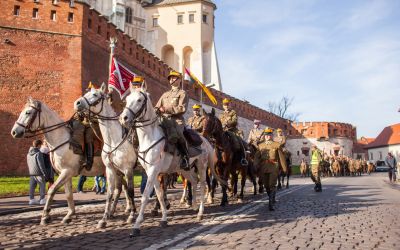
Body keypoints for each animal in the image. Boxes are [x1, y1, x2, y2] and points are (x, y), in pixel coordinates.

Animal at [73, 83, 138, 228]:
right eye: (86, 93)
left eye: (95, 94)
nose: (77, 103)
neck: (114, 140)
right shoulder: (111, 170)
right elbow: (110, 193)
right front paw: (104, 219)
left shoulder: (128, 170)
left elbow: (131, 191)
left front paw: (132, 215)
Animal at [119, 83, 225, 236]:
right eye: (127, 99)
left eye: (139, 100)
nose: (124, 118)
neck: (150, 137)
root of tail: (205, 140)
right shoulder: (151, 171)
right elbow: (159, 194)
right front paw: (164, 218)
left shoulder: (153, 170)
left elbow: (145, 196)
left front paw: (137, 225)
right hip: (184, 169)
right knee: (193, 181)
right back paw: (193, 205)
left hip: (202, 166)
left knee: (203, 185)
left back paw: (200, 211)